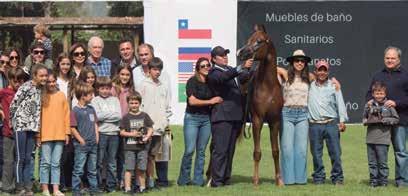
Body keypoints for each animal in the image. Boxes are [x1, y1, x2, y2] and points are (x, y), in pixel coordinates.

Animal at [236, 27, 284, 185]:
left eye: (259, 41)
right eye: (249, 39)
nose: (240, 53)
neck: (268, 87)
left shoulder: (275, 121)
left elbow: (276, 151)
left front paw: (279, 180)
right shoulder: (257, 120)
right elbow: (257, 152)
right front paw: (256, 180)